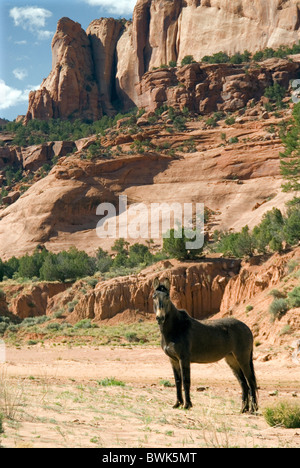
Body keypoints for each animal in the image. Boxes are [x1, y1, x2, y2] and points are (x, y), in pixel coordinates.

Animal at [152, 278, 258, 414]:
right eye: (154, 297)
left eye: (167, 297)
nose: (160, 318)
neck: (176, 328)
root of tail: (247, 328)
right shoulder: (173, 360)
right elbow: (178, 381)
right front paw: (177, 404)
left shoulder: (183, 359)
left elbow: (186, 381)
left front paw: (187, 405)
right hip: (232, 360)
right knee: (243, 383)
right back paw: (243, 409)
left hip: (242, 359)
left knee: (251, 382)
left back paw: (253, 409)